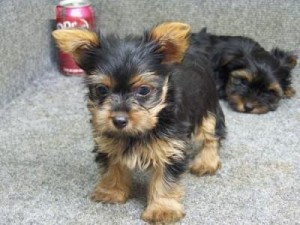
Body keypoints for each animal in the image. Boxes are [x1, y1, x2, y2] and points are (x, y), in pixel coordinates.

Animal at [52, 22, 225, 223]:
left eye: (143, 90)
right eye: (102, 89)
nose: (119, 120)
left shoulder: (171, 148)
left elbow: (165, 180)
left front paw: (162, 209)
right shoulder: (108, 142)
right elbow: (112, 168)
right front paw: (112, 191)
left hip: (208, 106)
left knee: (211, 134)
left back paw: (207, 161)